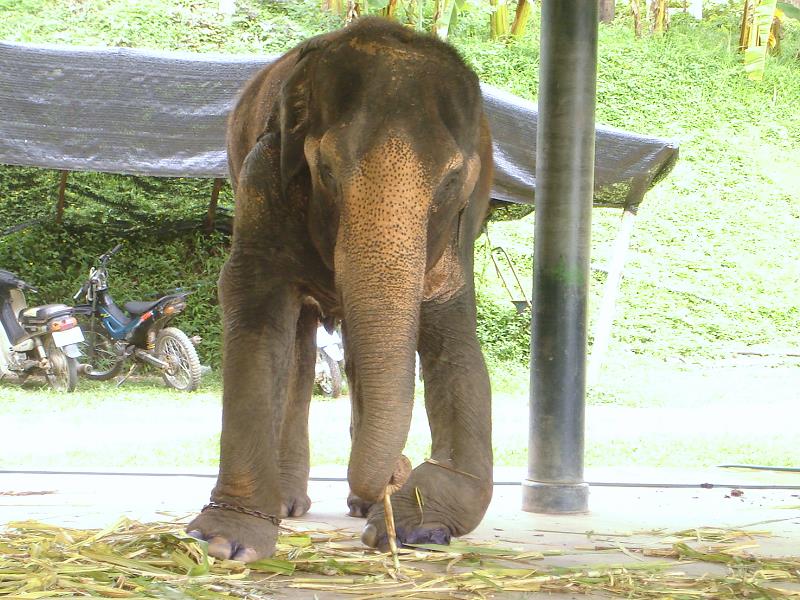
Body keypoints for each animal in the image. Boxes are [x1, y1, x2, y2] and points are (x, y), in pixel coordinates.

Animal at [187, 16, 494, 561]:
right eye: (326, 172)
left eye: (451, 180)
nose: (396, 476)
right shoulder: (265, 172)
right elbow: (250, 293)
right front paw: (223, 540)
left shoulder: (462, 225)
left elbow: (451, 322)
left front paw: (415, 526)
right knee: (300, 347)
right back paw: (288, 504)